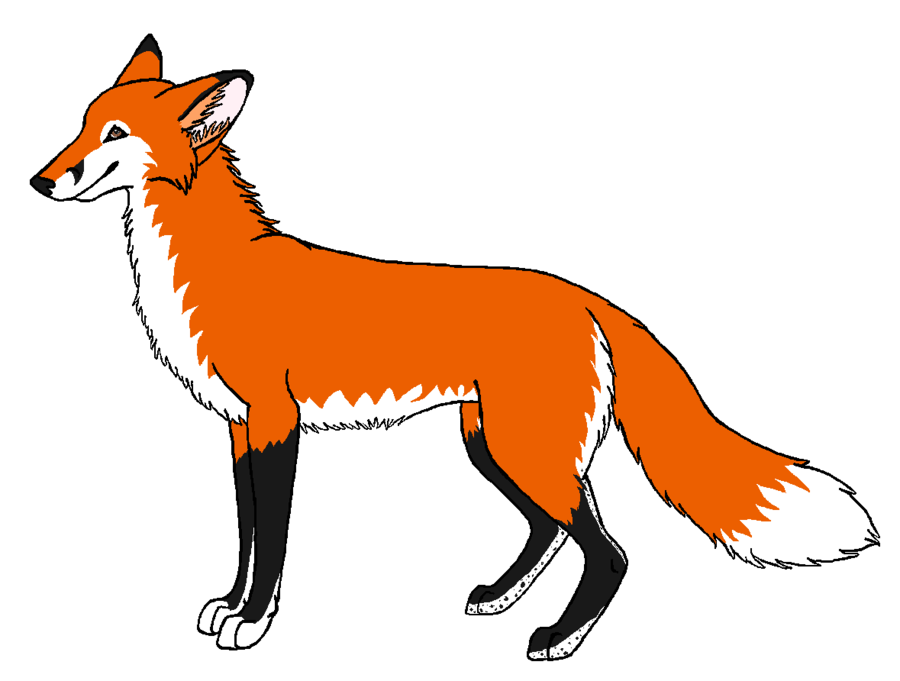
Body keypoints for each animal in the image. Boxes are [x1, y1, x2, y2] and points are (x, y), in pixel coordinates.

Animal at [30, 35, 879, 660]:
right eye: (80, 123)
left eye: (114, 136)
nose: (39, 181)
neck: (215, 271)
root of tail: (588, 297)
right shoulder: (240, 429)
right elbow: (244, 537)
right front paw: (231, 605)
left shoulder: (275, 423)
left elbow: (269, 543)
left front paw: (254, 623)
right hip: (494, 446)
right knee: (550, 531)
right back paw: (501, 596)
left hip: (523, 449)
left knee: (608, 551)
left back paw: (558, 638)